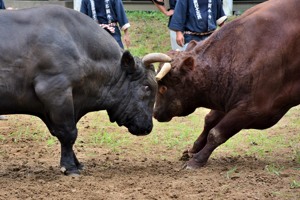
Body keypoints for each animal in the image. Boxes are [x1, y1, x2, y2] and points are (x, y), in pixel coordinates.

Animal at [0, 5, 171, 175]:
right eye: (147, 86)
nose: (148, 127)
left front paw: (77, 163)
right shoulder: (55, 91)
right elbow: (68, 132)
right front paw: (69, 167)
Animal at [154, 0, 300, 169]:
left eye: (163, 88)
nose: (155, 113)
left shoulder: (254, 109)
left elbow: (216, 133)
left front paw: (197, 159)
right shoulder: (230, 98)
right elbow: (209, 121)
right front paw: (193, 150)